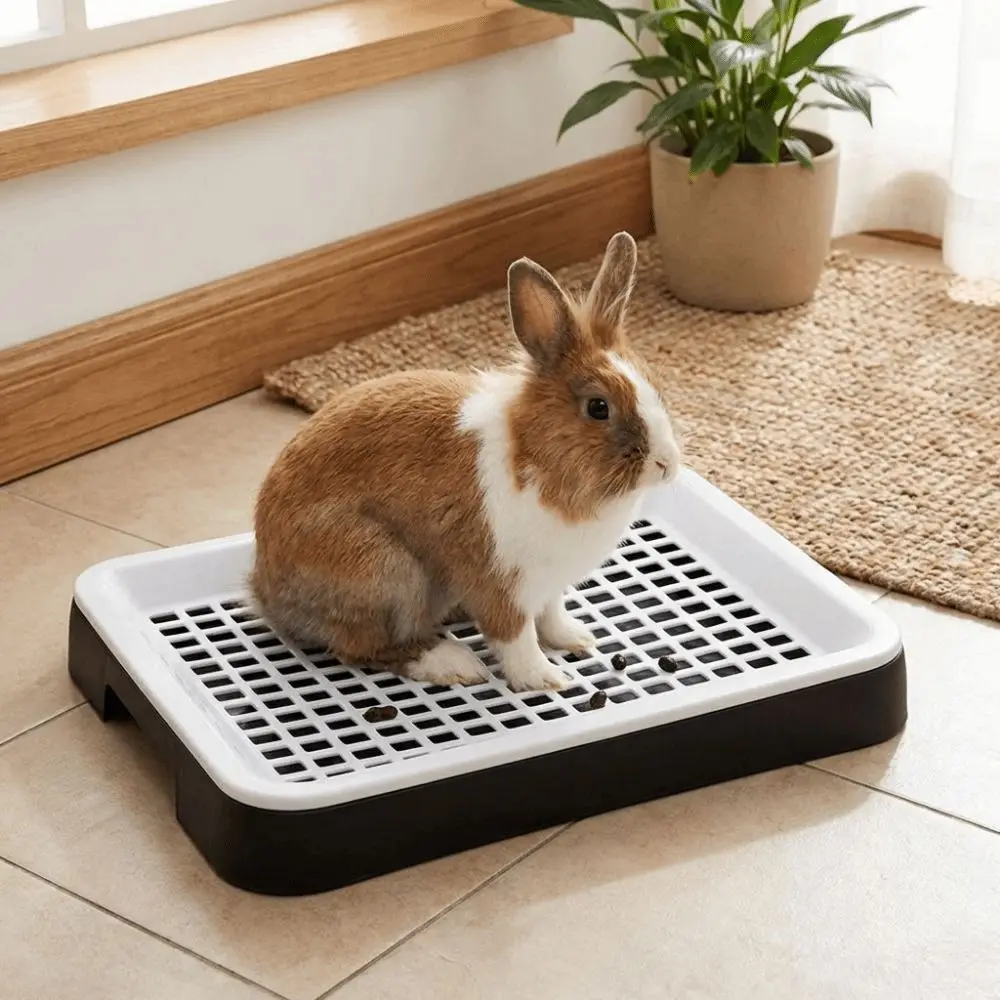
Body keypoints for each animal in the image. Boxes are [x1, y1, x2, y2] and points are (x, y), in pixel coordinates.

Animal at [251, 231, 682, 692]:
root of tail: (266, 593)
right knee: (363, 647)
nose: (666, 464)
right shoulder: (500, 582)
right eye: (598, 408)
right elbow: (515, 636)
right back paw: (451, 663)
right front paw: (545, 679)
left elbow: (551, 615)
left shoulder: (549, 584)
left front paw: (576, 638)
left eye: (655, 385)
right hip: (386, 572)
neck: (538, 455)